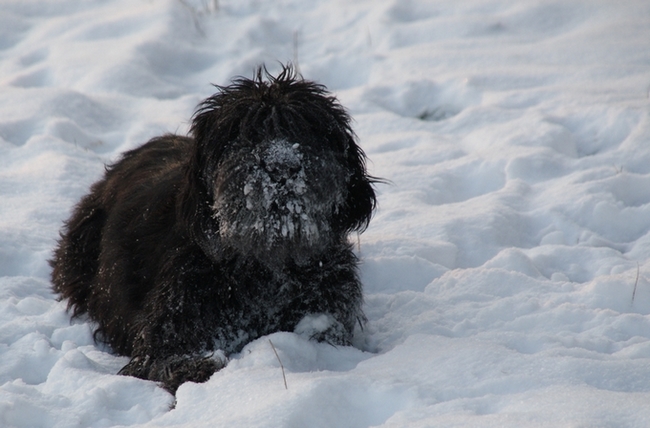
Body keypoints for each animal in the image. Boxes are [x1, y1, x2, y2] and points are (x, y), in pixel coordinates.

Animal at [50, 66, 378, 394]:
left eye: (306, 129)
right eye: (246, 134)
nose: (282, 165)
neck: (266, 264)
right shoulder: (170, 328)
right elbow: (172, 362)